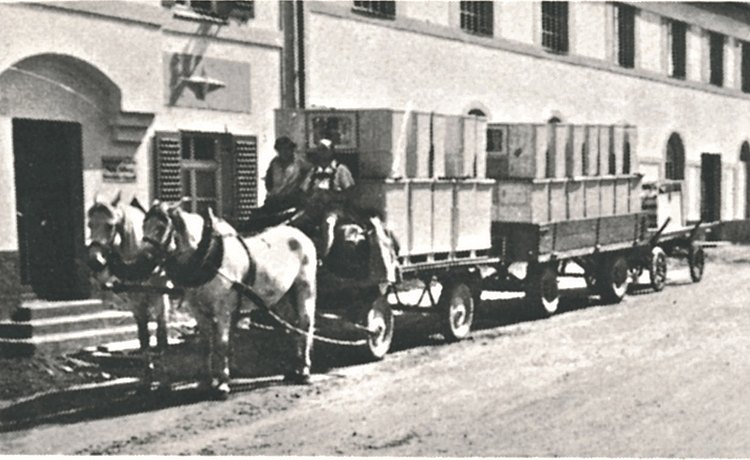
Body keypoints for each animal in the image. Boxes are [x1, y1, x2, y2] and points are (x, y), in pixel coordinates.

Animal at [86, 192, 172, 354]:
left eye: (110, 226)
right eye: (90, 225)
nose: (95, 260)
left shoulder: (160, 292)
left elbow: (161, 318)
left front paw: (162, 347)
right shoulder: (134, 295)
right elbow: (141, 322)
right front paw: (144, 349)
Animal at [140, 201, 318, 398]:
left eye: (161, 227)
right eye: (143, 226)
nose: (142, 262)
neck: (208, 256)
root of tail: (301, 235)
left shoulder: (222, 309)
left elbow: (222, 343)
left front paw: (223, 384)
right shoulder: (197, 310)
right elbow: (206, 344)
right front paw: (205, 382)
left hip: (305, 289)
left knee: (305, 324)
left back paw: (304, 372)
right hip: (283, 297)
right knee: (292, 326)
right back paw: (293, 370)